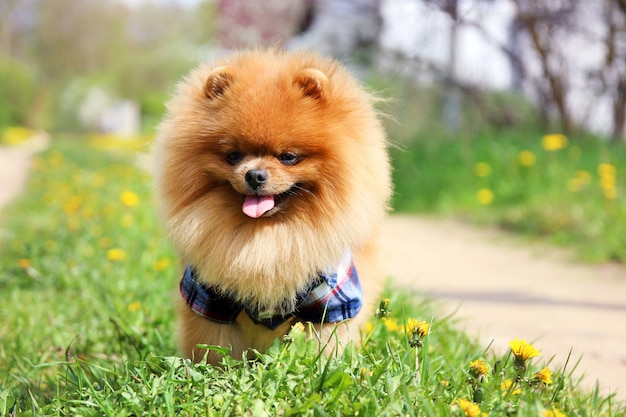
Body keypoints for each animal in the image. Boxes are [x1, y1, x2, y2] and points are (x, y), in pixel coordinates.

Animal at [152, 48, 390, 362]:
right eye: (233, 155)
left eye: (288, 157)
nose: (254, 175)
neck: (267, 238)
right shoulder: (208, 298)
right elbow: (214, 350)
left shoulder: (332, 303)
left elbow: (323, 348)